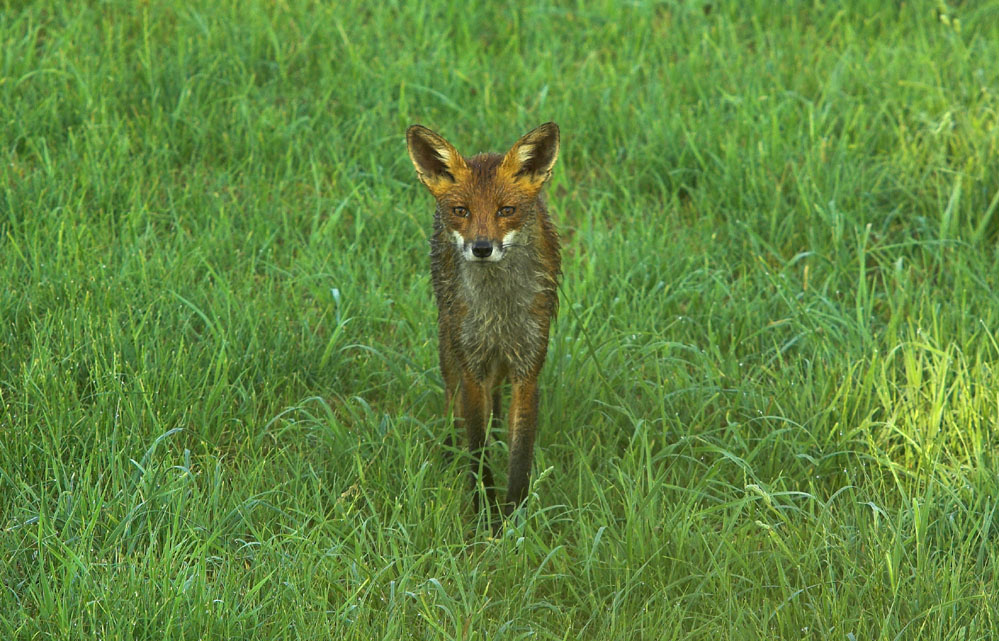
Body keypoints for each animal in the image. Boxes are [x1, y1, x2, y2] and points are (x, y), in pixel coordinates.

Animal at [406, 122, 564, 524]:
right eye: (461, 210)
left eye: (506, 210)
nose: (481, 247)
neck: (499, 314)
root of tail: (486, 153)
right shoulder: (472, 368)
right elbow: (477, 453)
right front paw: (485, 515)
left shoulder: (528, 367)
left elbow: (520, 457)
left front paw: (516, 519)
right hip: (449, 347)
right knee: (453, 407)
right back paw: (449, 455)